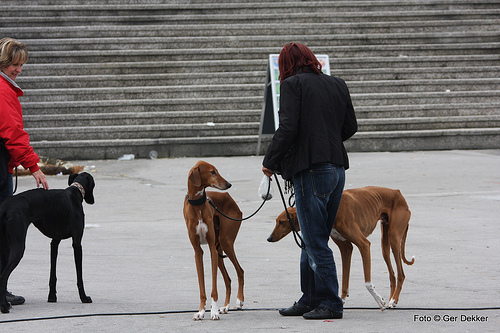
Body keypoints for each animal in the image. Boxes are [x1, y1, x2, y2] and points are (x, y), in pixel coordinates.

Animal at [0, 171, 95, 312]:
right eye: (94, 184)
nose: (92, 201)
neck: (76, 191)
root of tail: (5, 207)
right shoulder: (77, 243)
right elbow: (79, 275)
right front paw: (84, 297)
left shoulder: (54, 242)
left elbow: (52, 274)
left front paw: (52, 297)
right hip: (18, 247)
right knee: (3, 277)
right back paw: (4, 306)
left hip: (5, 247)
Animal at [184, 161, 246, 320]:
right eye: (212, 172)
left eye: (216, 171)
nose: (229, 184)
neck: (197, 205)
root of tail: (228, 196)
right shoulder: (198, 251)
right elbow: (202, 287)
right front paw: (201, 312)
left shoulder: (211, 248)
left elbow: (214, 287)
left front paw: (214, 312)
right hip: (219, 252)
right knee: (228, 279)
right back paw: (225, 307)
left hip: (225, 242)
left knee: (240, 271)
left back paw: (239, 301)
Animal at [270, 185, 414, 308]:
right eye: (276, 221)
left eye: (281, 222)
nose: (269, 238)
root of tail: (398, 193)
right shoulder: (346, 248)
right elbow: (344, 279)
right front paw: (341, 301)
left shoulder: (364, 245)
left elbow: (367, 283)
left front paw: (379, 300)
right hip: (385, 244)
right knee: (392, 274)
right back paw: (392, 300)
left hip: (394, 239)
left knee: (401, 274)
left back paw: (392, 300)